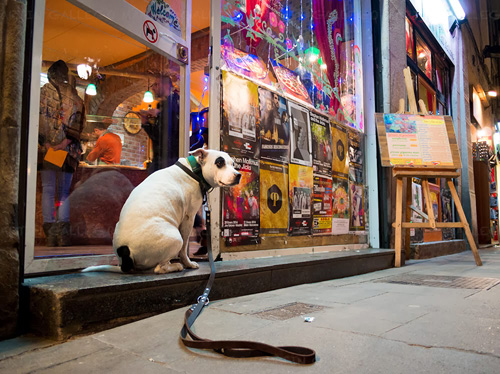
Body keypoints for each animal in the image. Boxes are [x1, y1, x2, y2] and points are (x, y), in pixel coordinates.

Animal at [82, 149, 242, 274]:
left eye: (233, 164)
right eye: (219, 163)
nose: (238, 174)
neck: (194, 170)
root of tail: (125, 253)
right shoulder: (188, 218)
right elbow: (184, 249)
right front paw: (188, 263)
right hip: (175, 237)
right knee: (160, 268)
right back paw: (176, 266)